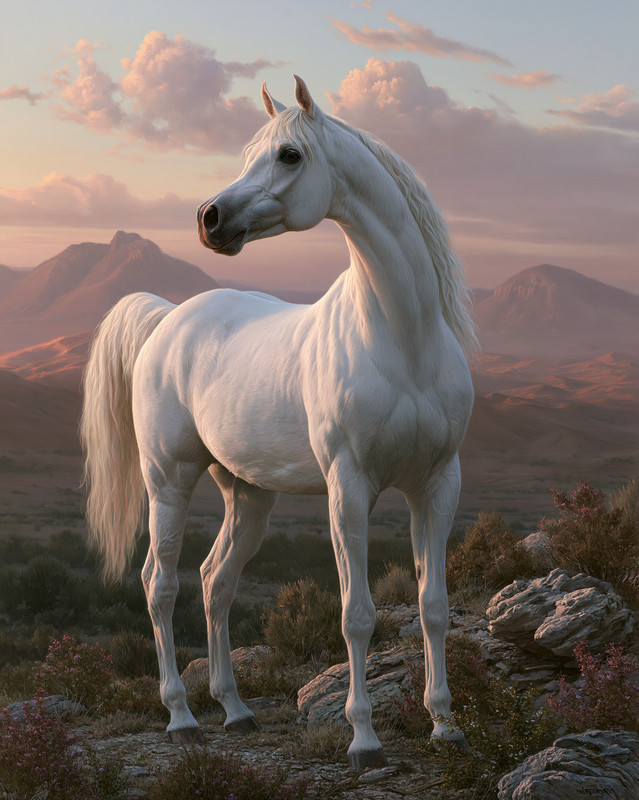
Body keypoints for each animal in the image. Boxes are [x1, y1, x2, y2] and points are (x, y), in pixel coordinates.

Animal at [81, 75, 477, 769]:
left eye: (289, 155)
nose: (209, 219)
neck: (403, 340)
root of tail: (166, 318)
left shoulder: (437, 484)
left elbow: (433, 605)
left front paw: (444, 725)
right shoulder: (349, 488)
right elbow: (356, 613)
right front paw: (364, 739)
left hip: (247, 493)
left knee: (215, 581)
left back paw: (236, 711)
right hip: (168, 480)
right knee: (159, 584)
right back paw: (181, 717)